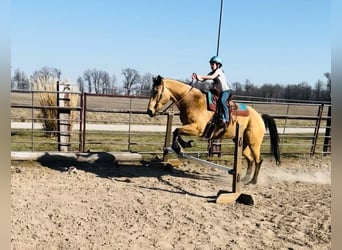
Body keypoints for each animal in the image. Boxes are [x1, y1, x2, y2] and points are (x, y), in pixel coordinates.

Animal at [147, 74, 280, 184]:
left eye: (155, 91)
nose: (149, 111)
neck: (192, 101)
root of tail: (260, 116)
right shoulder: (188, 126)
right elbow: (177, 131)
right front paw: (186, 144)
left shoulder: (197, 129)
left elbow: (176, 131)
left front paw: (179, 147)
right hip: (244, 144)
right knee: (250, 160)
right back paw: (244, 179)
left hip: (254, 143)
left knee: (258, 160)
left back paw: (253, 181)